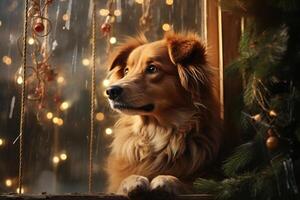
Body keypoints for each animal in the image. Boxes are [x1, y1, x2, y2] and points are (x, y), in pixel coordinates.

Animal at [104, 32, 221, 198]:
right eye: (126, 71)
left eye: (152, 68)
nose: (110, 91)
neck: (157, 130)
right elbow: (122, 183)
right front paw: (132, 180)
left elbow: (187, 184)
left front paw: (166, 179)